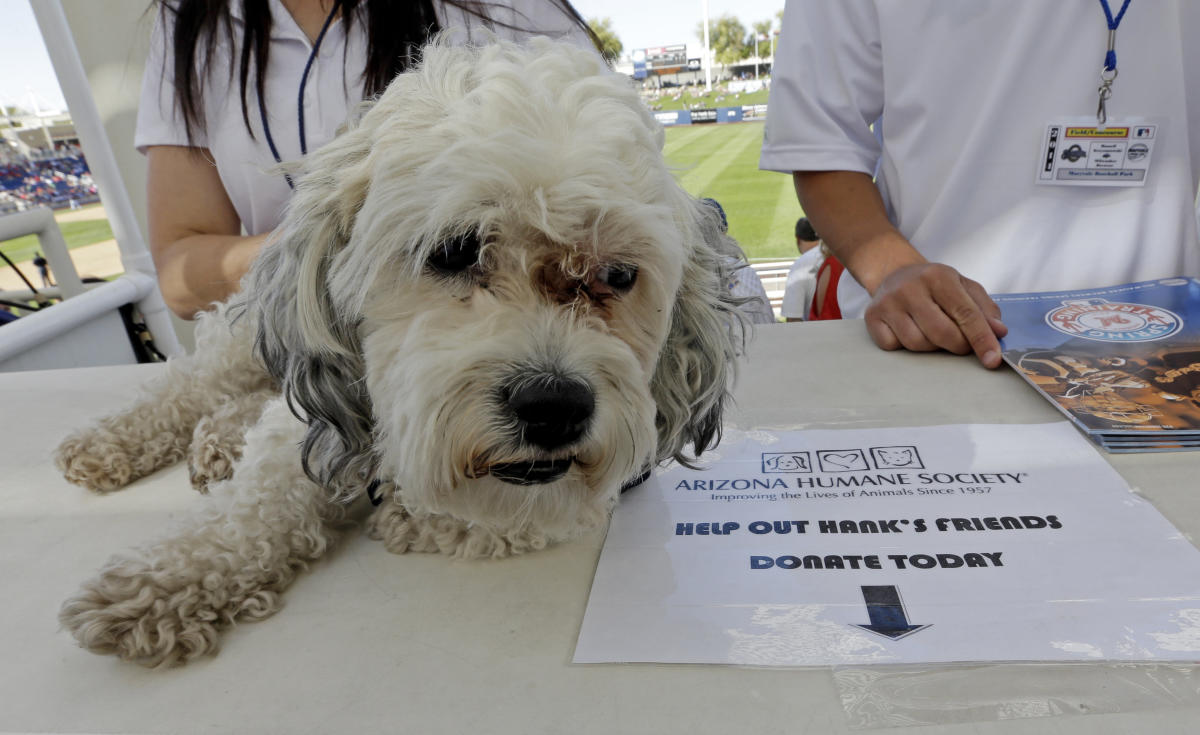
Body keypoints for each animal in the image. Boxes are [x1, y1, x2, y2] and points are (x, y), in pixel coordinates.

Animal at [58, 41, 748, 672]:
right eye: (454, 250)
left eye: (619, 274)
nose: (554, 407)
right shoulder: (300, 434)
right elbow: (255, 509)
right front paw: (162, 581)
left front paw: (411, 515)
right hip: (241, 337)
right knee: (191, 385)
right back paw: (109, 444)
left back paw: (217, 442)